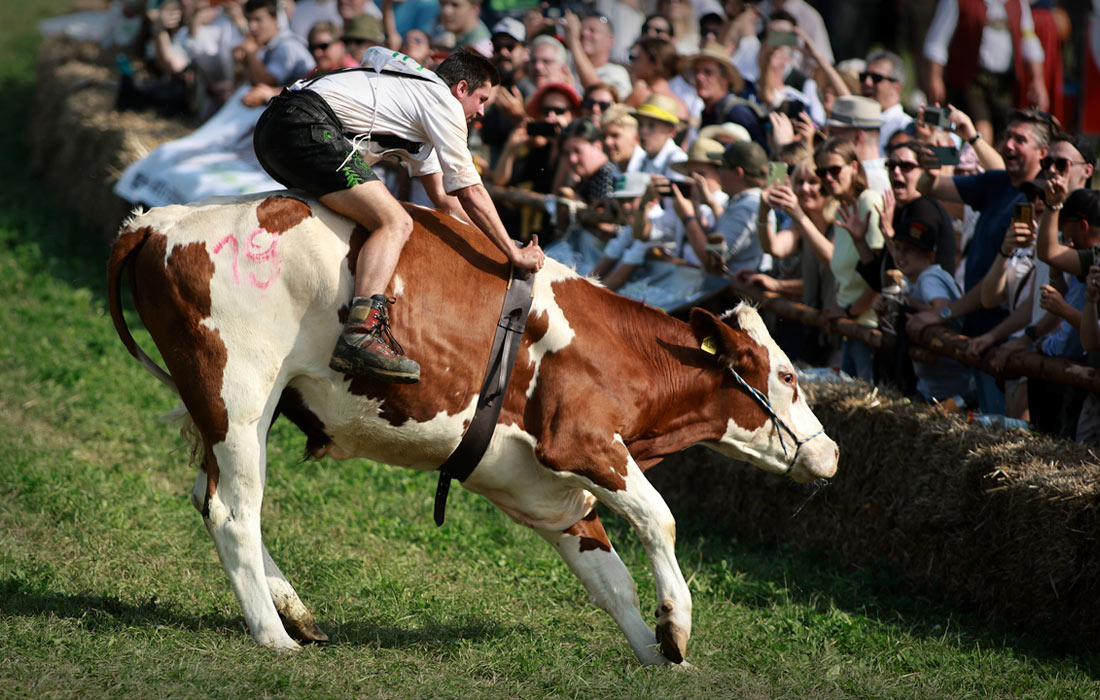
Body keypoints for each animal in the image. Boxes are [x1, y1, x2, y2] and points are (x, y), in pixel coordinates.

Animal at [107, 190, 836, 660]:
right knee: (236, 512)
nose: (831, 453)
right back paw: (273, 636)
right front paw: (677, 627)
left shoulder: (548, 493)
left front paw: (656, 655)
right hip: (238, 396)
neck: (617, 352)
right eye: (789, 376)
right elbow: (661, 519)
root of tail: (161, 220)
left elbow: (610, 581)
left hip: (233, 411)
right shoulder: (582, 442)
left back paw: (297, 614)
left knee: (215, 500)